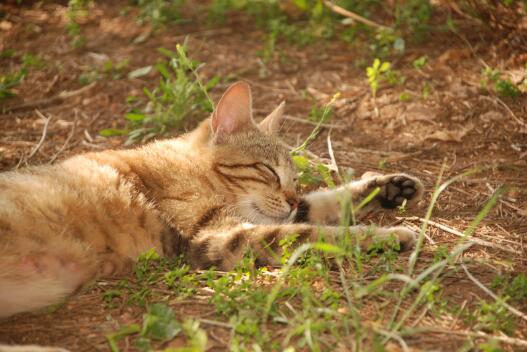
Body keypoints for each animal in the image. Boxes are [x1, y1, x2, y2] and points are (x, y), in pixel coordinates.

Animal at [0, 82, 424, 320]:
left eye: (294, 178)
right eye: (269, 171)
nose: (288, 198)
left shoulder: (268, 215)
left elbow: (321, 204)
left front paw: (388, 187)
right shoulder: (217, 236)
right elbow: (316, 234)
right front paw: (388, 236)